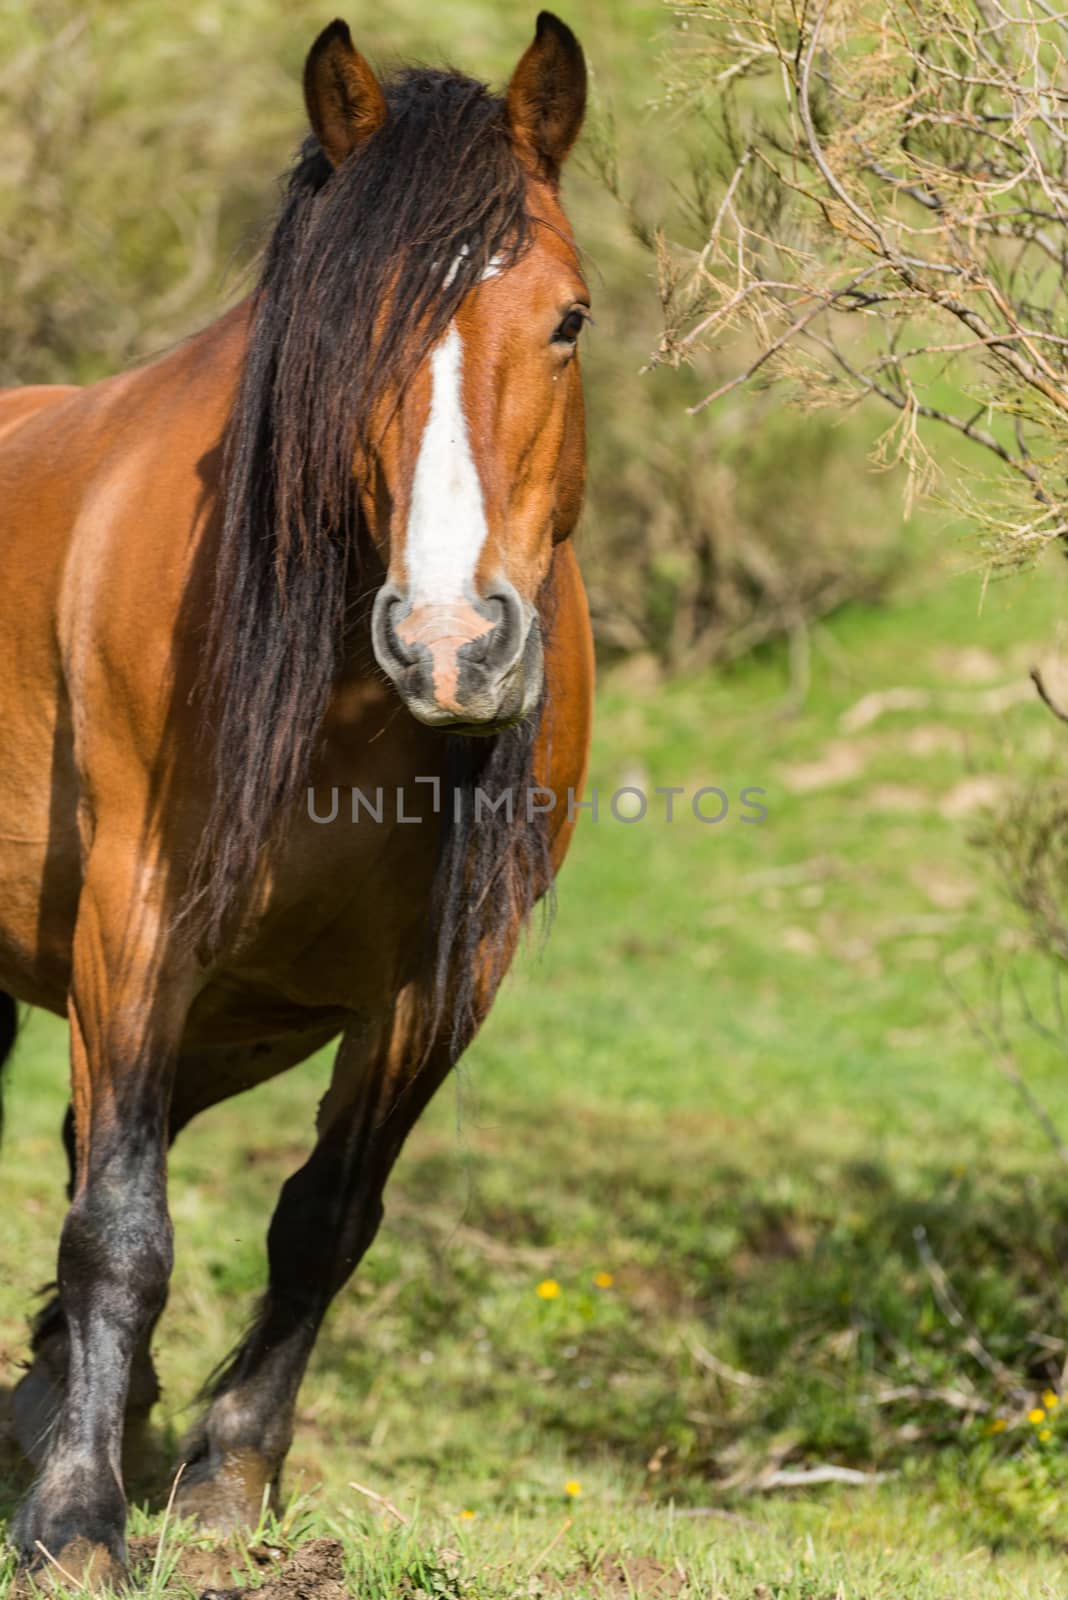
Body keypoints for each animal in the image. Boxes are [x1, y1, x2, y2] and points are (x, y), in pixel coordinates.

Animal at [0, 15, 591, 1587]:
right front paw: (76, 1520)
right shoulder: (135, 925)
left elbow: (323, 1220)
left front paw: (220, 1482)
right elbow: (120, 1228)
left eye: (568, 321)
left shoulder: (442, 979)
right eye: (336, 332)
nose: (453, 644)